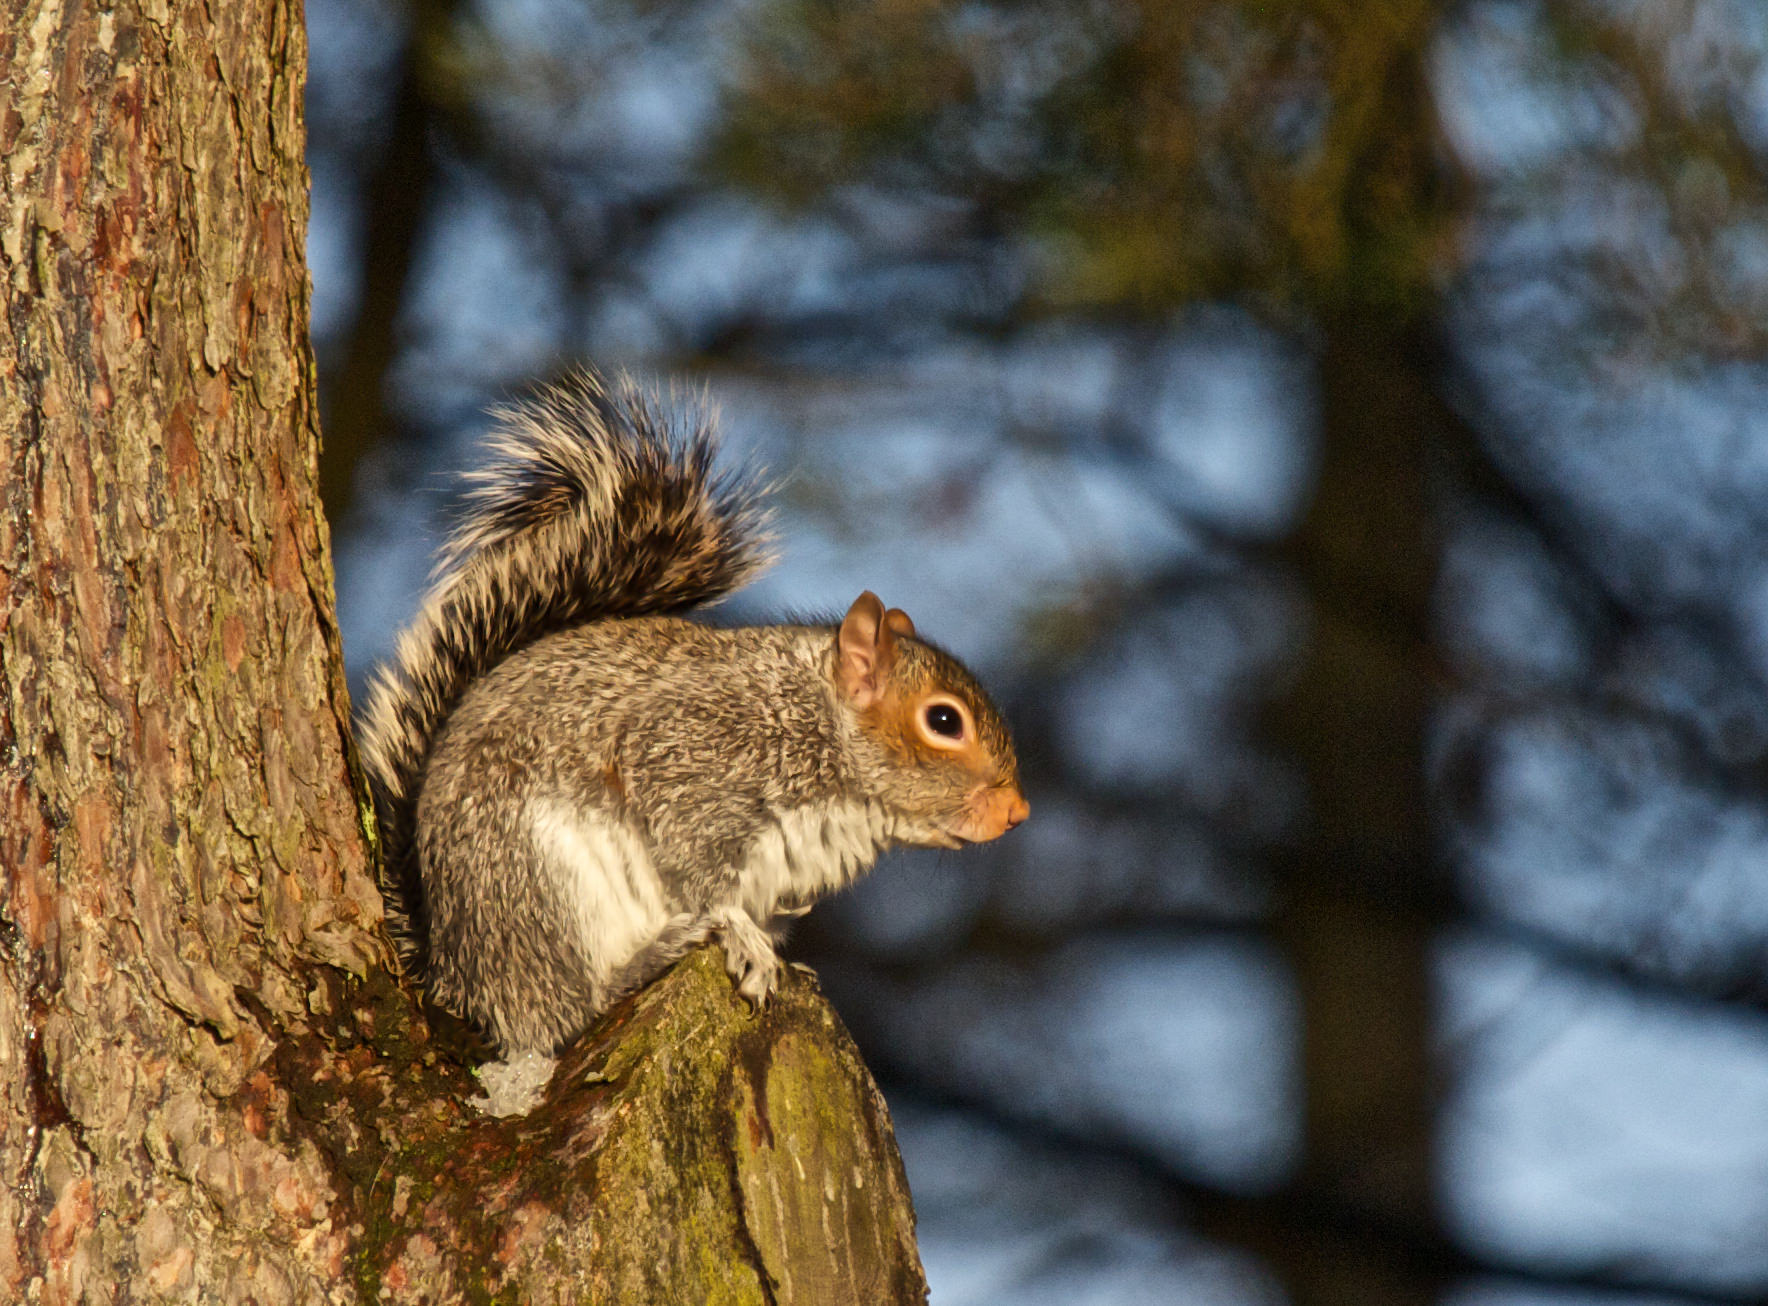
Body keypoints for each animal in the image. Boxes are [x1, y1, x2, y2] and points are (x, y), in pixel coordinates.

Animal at [357, 371, 1029, 1063]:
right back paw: (645, 960)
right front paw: (740, 935)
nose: (1018, 812)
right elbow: (700, 870)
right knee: (557, 1016)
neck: (824, 733)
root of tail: (453, 974)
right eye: (944, 722)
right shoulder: (695, 751)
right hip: (536, 884)